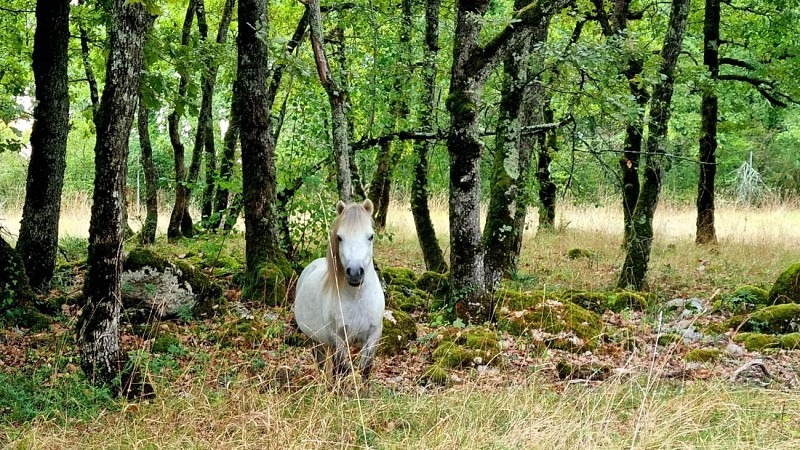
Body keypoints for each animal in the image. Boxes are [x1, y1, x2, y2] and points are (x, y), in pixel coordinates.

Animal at [292, 199, 386, 382]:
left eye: (371, 236)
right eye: (340, 237)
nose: (355, 272)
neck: (357, 298)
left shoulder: (373, 336)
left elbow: (364, 370)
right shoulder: (339, 339)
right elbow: (342, 370)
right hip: (316, 341)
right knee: (323, 365)